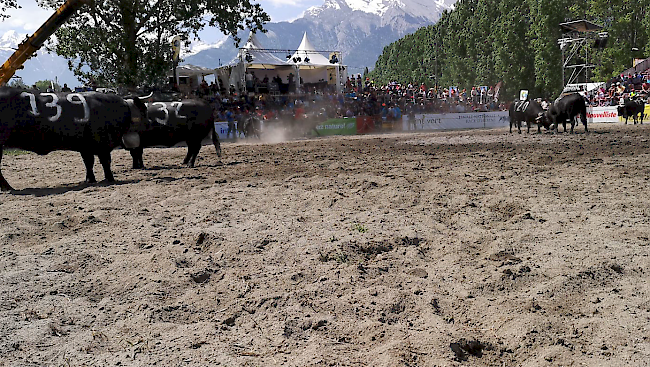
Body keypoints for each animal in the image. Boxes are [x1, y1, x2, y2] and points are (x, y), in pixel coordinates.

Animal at [0, 87, 147, 193]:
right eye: (144, 109)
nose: (149, 122)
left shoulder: (86, 146)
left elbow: (89, 163)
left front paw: (90, 180)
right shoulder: (103, 143)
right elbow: (105, 162)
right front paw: (110, 178)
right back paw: (7, 188)